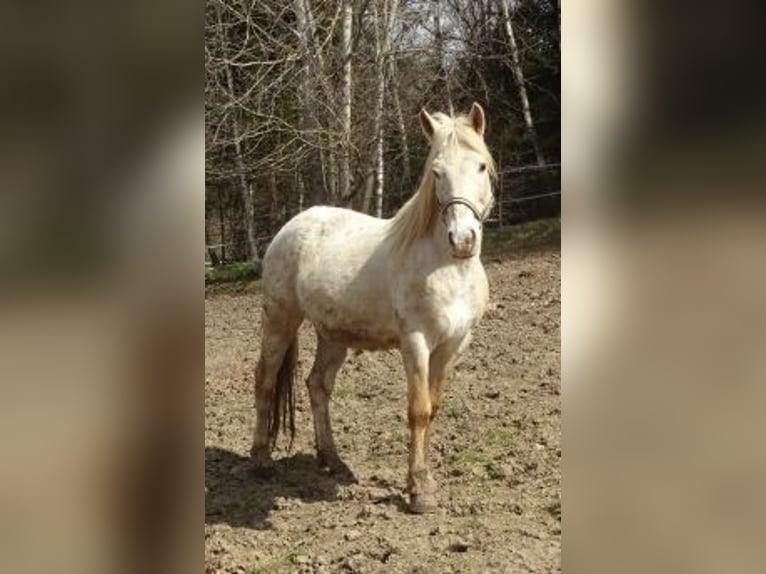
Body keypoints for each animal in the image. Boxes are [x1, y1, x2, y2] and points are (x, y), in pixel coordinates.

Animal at [252, 101, 498, 516]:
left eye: (481, 166)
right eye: (436, 172)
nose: (463, 240)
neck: (446, 267)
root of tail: (293, 224)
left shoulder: (452, 346)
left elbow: (433, 409)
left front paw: (422, 481)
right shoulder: (415, 342)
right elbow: (418, 410)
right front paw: (419, 492)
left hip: (333, 334)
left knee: (318, 385)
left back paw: (333, 460)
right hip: (281, 320)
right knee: (265, 380)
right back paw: (261, 461)